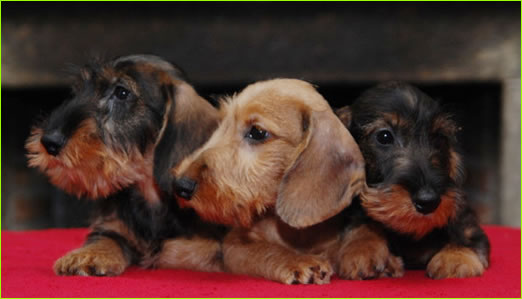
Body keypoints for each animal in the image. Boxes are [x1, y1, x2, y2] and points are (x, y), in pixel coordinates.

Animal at [25, 54, 223, 276]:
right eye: (79, 89)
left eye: (121, 92)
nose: (49, 141)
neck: (150, 194)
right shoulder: (112, 228)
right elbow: (105, 239)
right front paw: (86, 255)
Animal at [336, 81, 490, 280]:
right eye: (384, 136)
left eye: (439, 138)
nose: (428, 201)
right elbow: (361, 221)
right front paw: (362, 248)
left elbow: (464, 230)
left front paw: (456, 256)